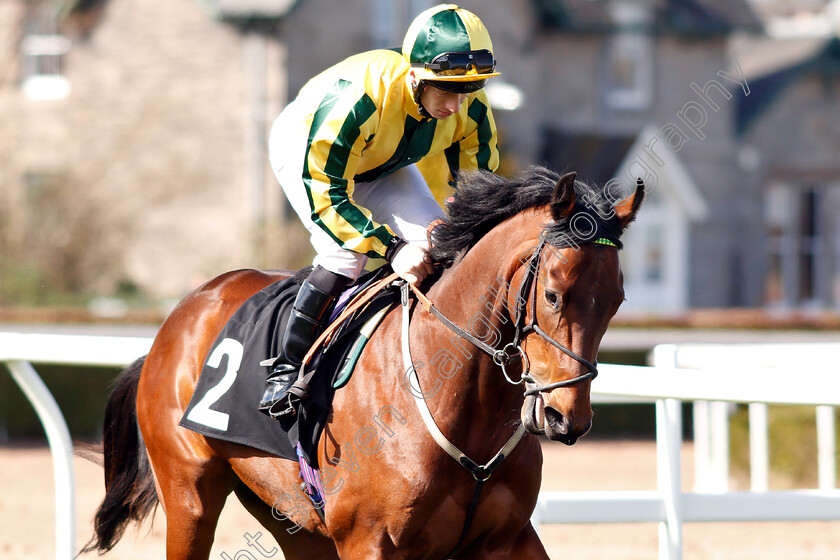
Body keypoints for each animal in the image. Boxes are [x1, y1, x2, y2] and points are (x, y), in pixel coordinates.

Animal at [82, 167, 644, 560]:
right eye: (552, 294)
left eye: (617, 300)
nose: (566, 418)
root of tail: (178, 317)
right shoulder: (369, 540)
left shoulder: (508, 538)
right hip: (190, 496)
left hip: (291, 518)